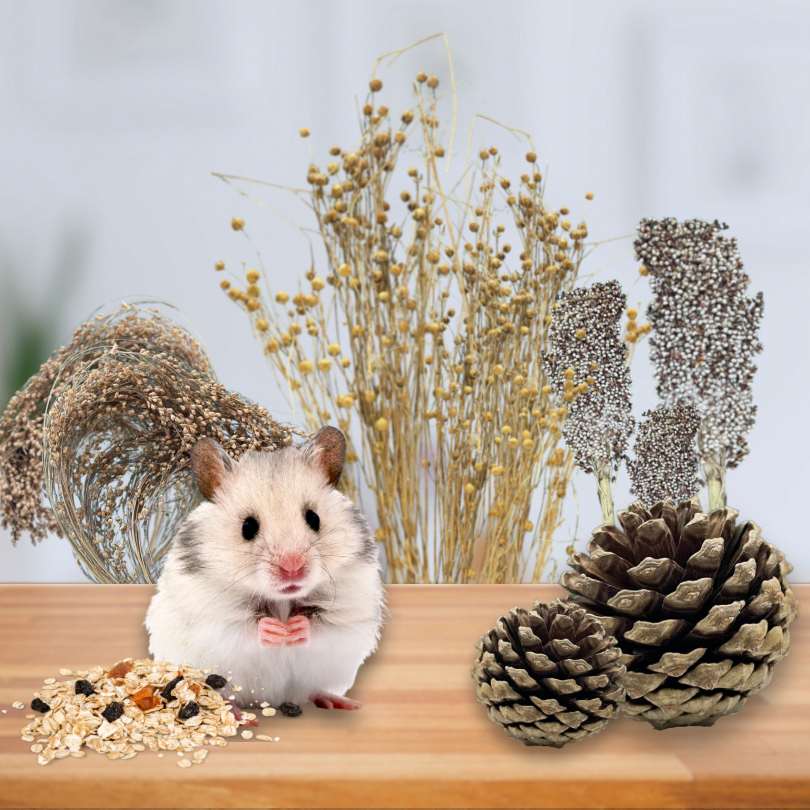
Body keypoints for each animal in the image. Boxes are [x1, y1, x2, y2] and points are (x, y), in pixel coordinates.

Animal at [145, 426, 385, 713]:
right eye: (248, 527)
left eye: (314, 518)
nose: (292, 568)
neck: (282, 600)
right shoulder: (210, 618)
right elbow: (243, 628)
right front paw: (276, 630)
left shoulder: (350, 615)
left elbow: (323, 627)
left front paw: (294, 628)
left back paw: (341, 702)